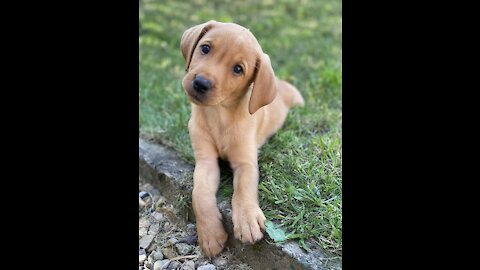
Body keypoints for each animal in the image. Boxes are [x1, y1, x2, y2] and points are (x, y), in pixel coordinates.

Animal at [180, 21, 304, 258]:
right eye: (205, 48)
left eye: (238, 69)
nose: (200, 83)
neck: (220, 115)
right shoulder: (206, 161)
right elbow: (199, 193)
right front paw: (210, 234)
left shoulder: (246, 162)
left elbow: (244, 188)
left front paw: (247, 220)